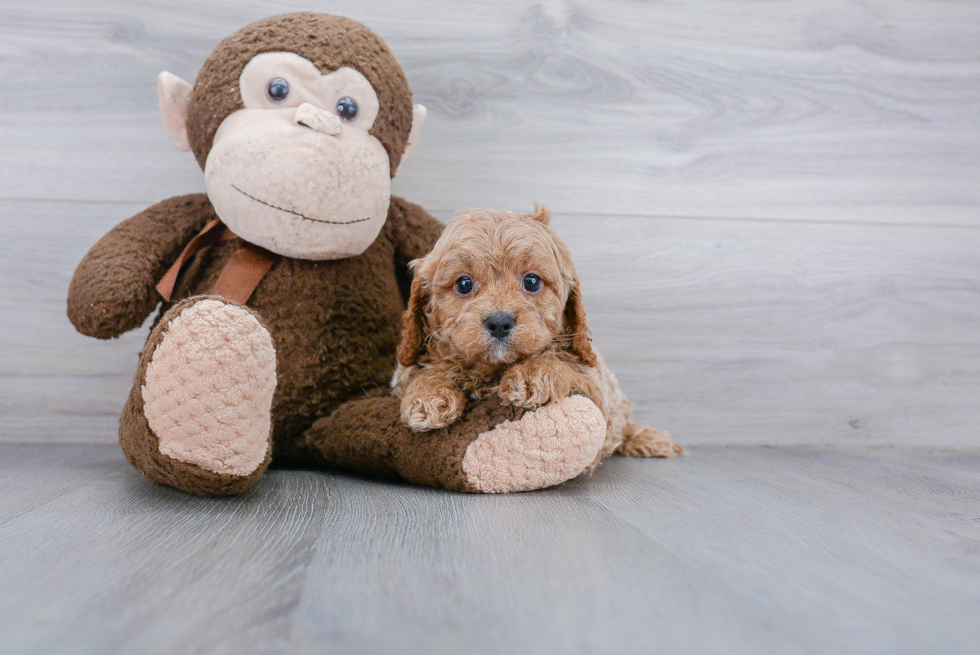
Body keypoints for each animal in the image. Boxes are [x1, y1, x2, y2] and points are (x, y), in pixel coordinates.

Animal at [390, 205, 680, 466]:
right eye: (464, 284)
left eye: (531, 281)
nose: (499, 322)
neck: (492, 369)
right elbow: (421, 372)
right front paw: (427, 397)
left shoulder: (595, 382)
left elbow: (565, 365)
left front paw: (530, 374)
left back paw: (649, 439)